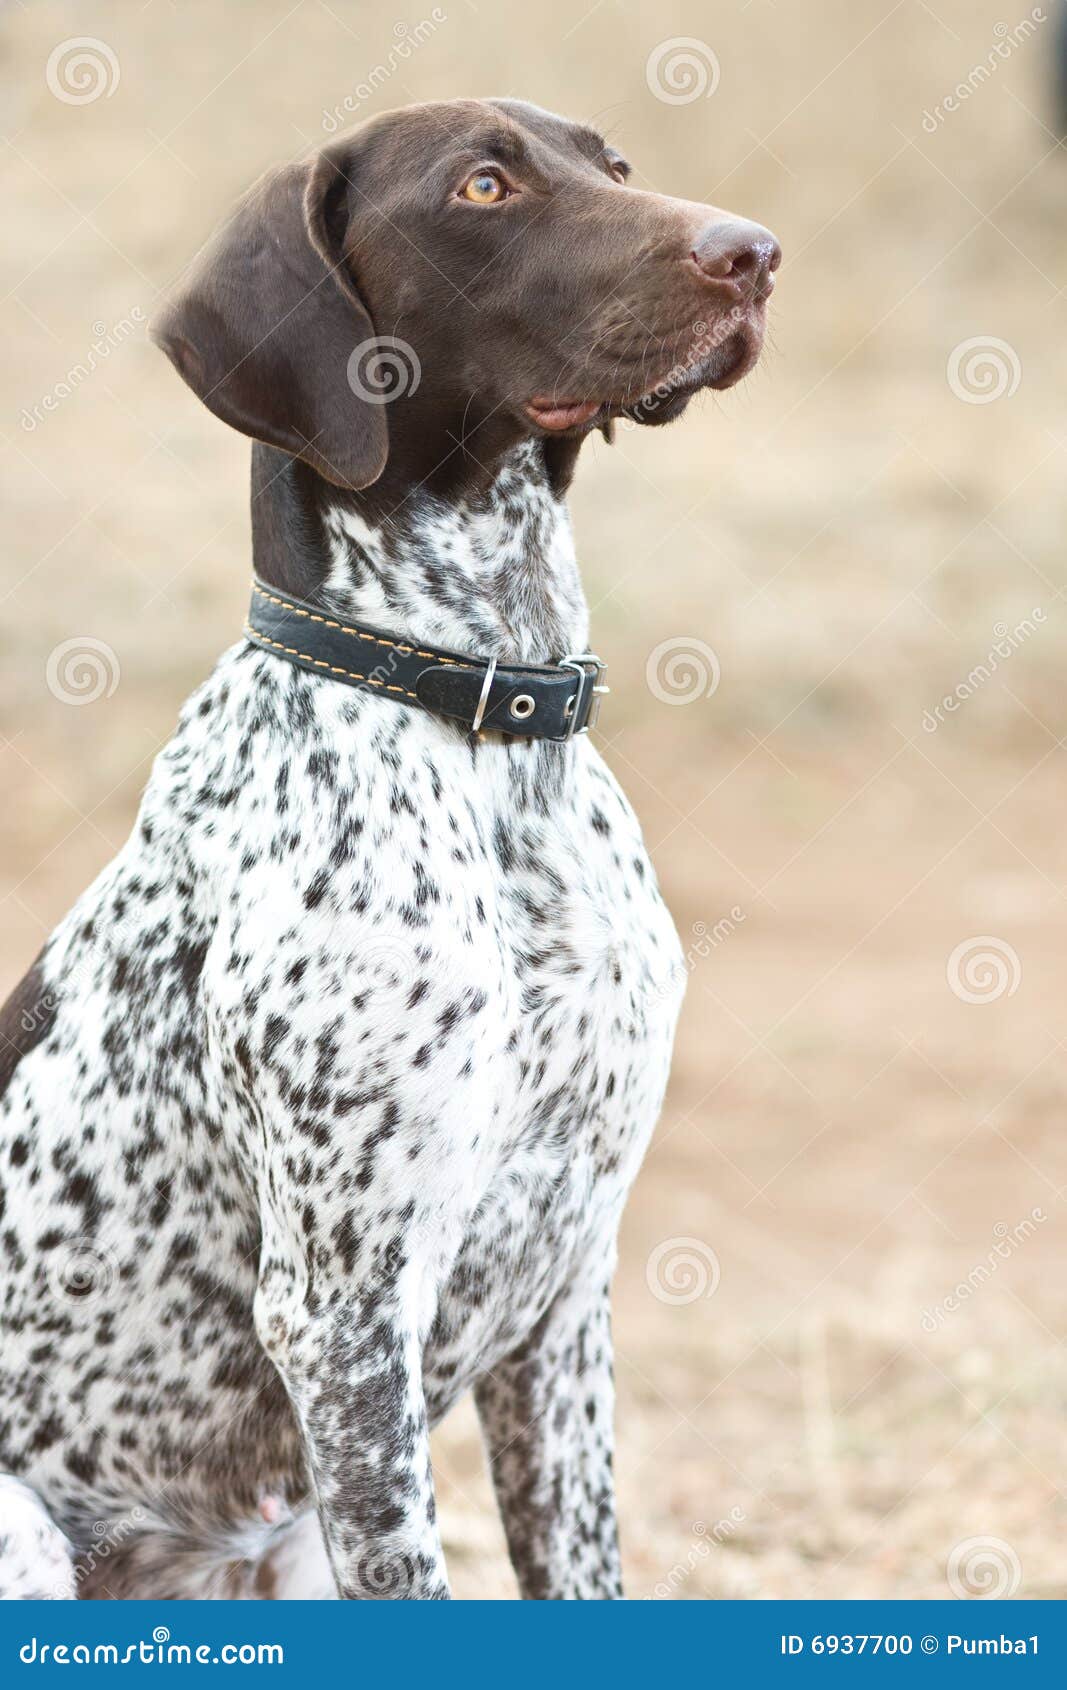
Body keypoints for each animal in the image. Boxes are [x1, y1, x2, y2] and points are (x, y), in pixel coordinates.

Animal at [2, 95, 784, 1595]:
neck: (488, 732)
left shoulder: (565, 1294)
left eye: (612, 165)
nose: (754, 252)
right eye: (481, 186)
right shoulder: (345, 1313)